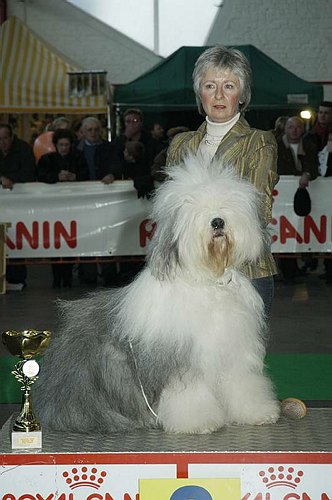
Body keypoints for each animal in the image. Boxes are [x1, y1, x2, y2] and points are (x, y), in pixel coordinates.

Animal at [34, 155, 280, 434]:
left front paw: (258, 412)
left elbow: (242, 384)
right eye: (193, 208)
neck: (207, 281)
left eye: (226, 203)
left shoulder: (233, 350)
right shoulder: (177, 358)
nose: (217, 221)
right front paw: (199, 422)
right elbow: (190, 393)